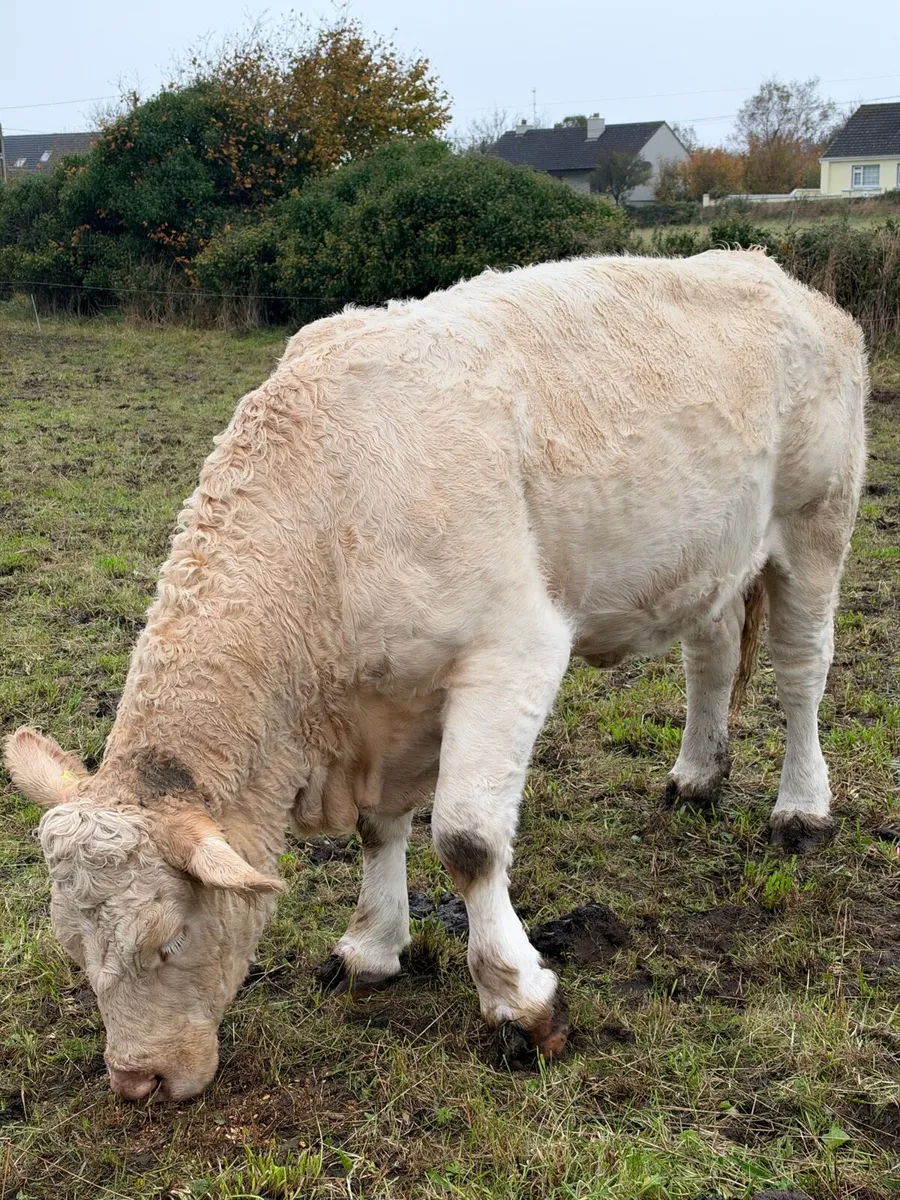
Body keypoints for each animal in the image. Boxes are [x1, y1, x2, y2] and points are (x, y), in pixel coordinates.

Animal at [4, 250, 867, 1101]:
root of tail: (775, 275)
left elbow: (467, 840)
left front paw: (520, 1001)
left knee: (802, 671)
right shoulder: (384, 705)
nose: (137, 1079)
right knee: (711, 655)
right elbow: (379, 828)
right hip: (707, 553)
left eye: (169, 937)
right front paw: (371, 946)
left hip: (815, 522)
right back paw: (695, 777)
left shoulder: (511, 649)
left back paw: (800, 808)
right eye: (71, 949)